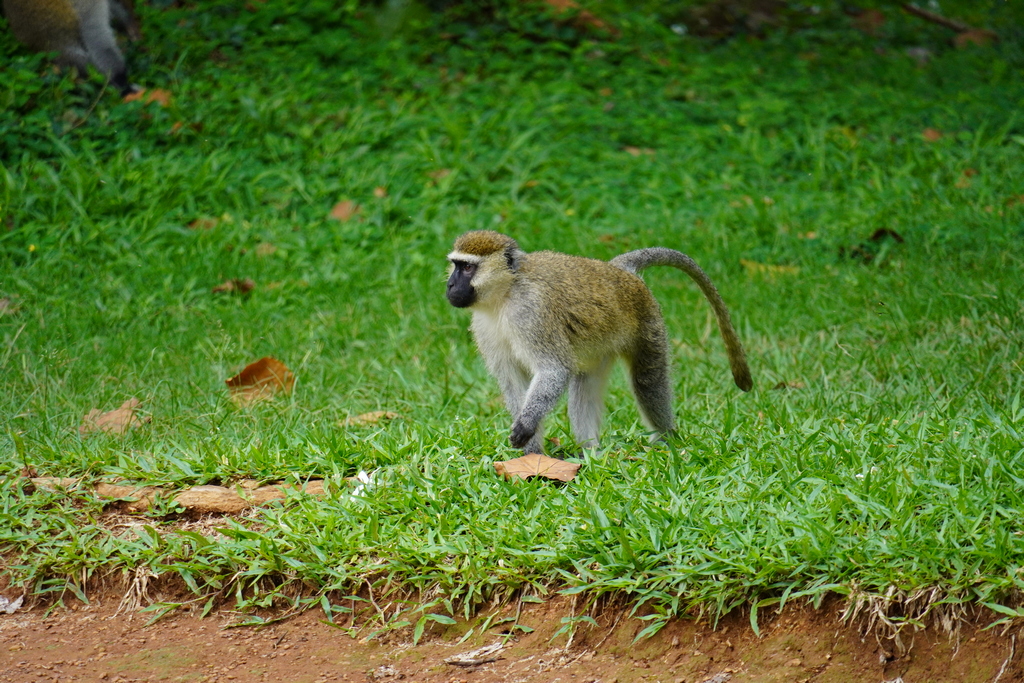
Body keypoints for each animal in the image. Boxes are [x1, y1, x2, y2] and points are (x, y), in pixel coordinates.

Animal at [446, 230, 752, 456]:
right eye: (455, 266)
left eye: (468, 267)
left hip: (647, 321)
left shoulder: (531, 313)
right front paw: (532, 455)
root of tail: (619, 273)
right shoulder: (484, 327)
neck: (505, 294)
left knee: (647, 382)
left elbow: (553, 370)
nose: (449, 285)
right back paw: (592, 453)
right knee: (586, 384)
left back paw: (667, 442)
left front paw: (525, 427)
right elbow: (513, 383)